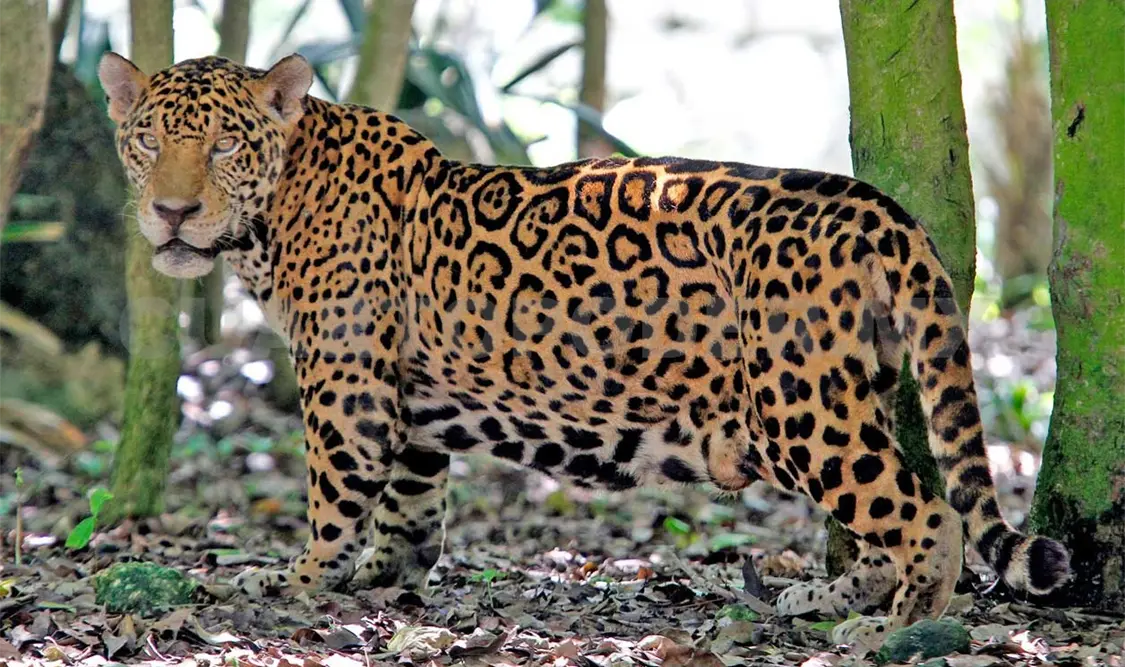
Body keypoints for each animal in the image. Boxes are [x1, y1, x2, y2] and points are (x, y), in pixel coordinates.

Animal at [97, 52, 1070, 644]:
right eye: (148, 139)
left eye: (225, 145)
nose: (171, 212)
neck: (274, 214)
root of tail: (878, 210)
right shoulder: (407, 391)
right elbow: (411, 501)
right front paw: (384, 575)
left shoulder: (345, 383)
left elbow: (337, 494)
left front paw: (297, 577)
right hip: (843, 394)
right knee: (885, 509)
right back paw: (829, 594)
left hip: (800, 404)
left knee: (926, 511)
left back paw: (896, 626)